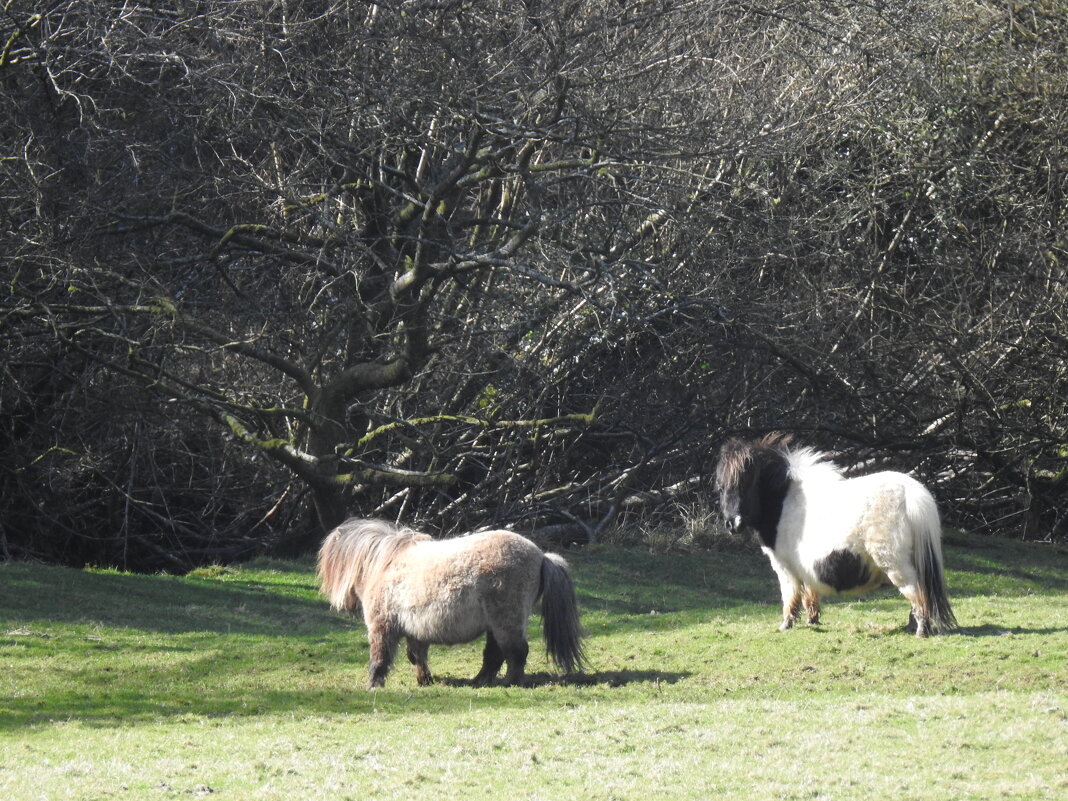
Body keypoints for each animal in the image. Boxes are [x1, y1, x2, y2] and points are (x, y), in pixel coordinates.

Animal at [311, 521, 589, 692]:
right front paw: (425, 680)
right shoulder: (415, 631)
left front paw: (373, 684)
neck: (383, 565)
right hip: (495, 624)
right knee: (495, 655)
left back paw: (509, 682)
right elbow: (416, 656)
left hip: (505, 621)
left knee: (516, 652)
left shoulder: (382, 627)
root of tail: (542, 556)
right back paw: (480, 681)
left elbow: (380, 658)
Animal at [717, 435, 961, 636]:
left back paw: (921, 630)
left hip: (897, 566)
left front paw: (786, 624)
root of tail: (911, 494)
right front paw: (812, 620)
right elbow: (810, 595)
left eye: (748, 482)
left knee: (918, 594)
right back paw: (911, 626)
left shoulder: (785, 569)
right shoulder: (806, 568)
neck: (783, 500)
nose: (732, 523)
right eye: (721, 486)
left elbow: (790, 597)